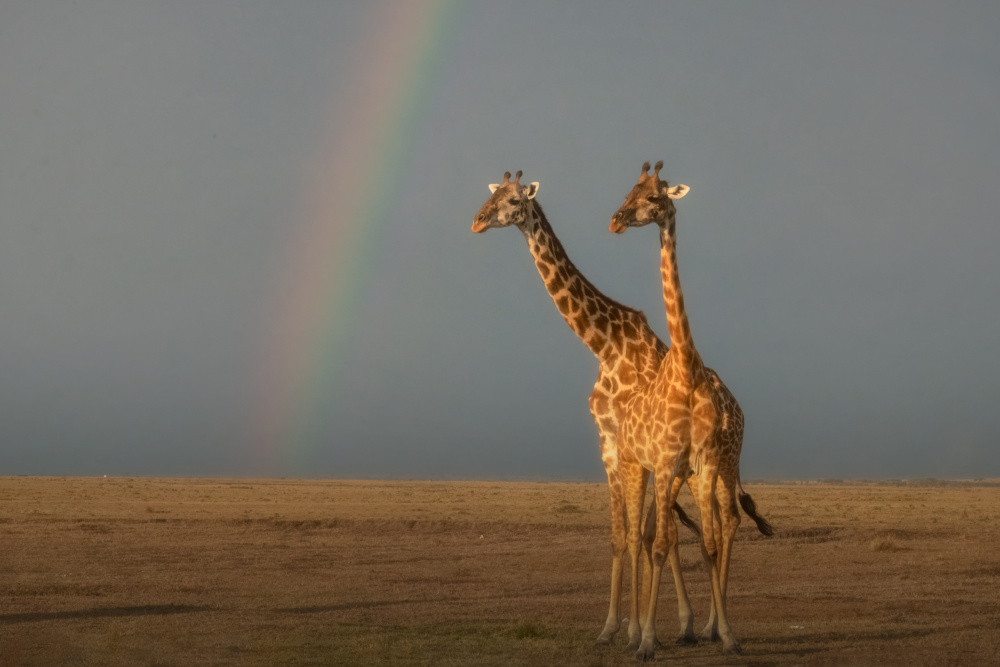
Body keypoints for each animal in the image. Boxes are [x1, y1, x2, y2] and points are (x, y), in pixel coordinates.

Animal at [604, 160, 752, 656]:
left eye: (653, 197)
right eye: (628, 190)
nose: (615, 219)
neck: (686, 369)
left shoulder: (703, 462)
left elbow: (707, 543)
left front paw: (726, 635)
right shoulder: (667, 463)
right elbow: (661, 543)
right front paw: (648, 640)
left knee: (690, 531)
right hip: (636, 466)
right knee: (640, 538)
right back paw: (633, 632)